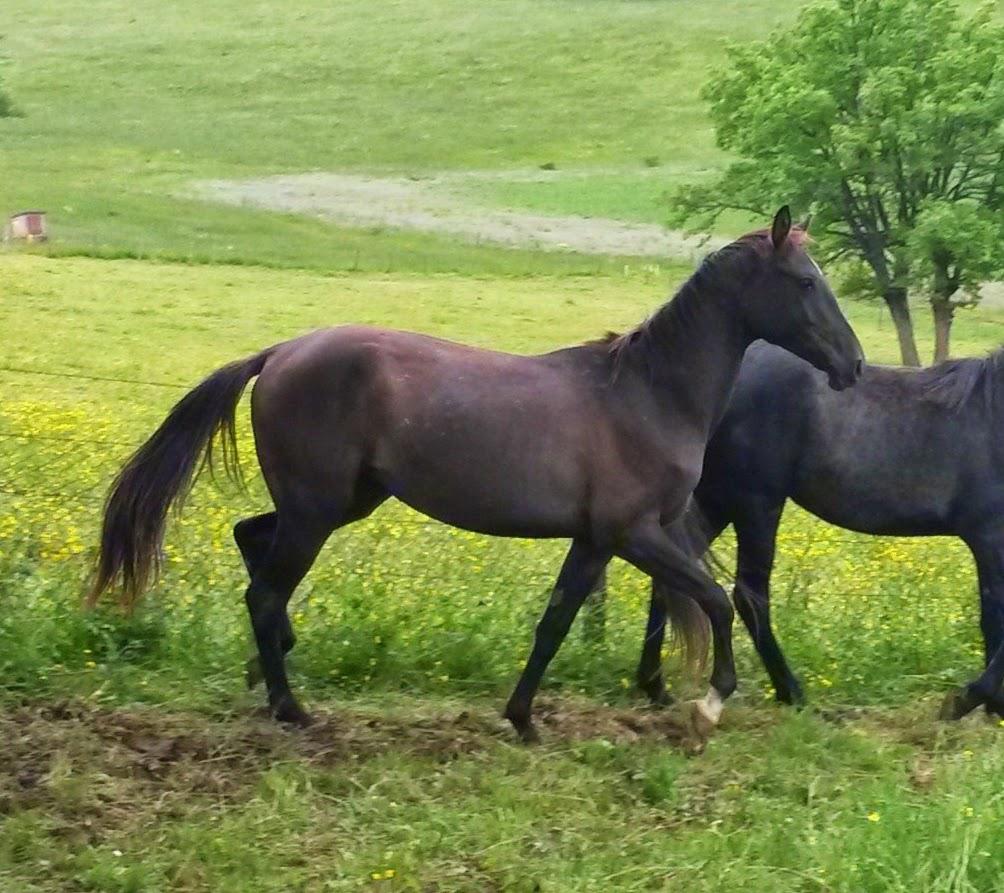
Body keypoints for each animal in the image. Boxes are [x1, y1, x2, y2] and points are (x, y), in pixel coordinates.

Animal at [89, 207, 863, 742]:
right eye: (805, 281)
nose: (852, 365)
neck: (647, 393)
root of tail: (279, 353)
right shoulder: (633, 531)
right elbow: (715, 601)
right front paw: (707, 705)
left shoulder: (596, 540)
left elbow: (557, 620)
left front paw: (522, 716)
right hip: (317, 510)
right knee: (263, 588)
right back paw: (289, 706)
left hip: (341, 501)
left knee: (252, 543)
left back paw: (273, 658)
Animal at [636, 340, 1004, 721]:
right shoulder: (990, 538)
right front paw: (967, 700)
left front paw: (993, 706)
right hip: (755, 503)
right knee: (749, 596)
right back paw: (791, 692)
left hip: (717, 502)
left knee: (672, 580)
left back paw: (656, 687)